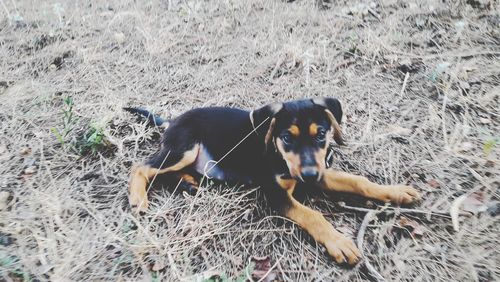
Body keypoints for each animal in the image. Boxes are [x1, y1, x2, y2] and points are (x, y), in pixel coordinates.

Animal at [125, 98, 418, 266]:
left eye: (321, 134)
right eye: (287, 137)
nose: (309, 176)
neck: (279, 156)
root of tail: (172, 121)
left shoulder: (321, 172)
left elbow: (358, 181)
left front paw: (396, 192)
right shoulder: (276, 194)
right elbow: (312, 215)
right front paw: (339, 242)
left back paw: (187, 182)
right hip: (185, 148)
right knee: (141, 167)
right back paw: (138, 198)